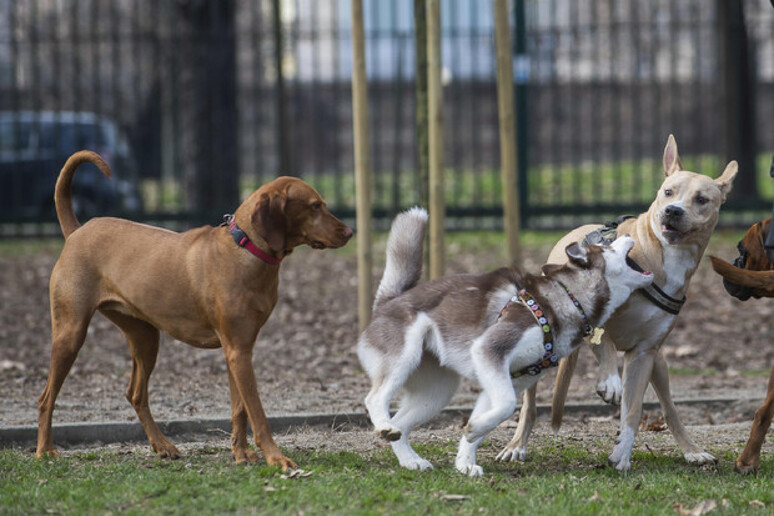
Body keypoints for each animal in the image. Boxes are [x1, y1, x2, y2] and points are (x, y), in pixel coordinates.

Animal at [36, 149, 352, 468]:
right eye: (315, 206)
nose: (351, 231)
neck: (246, 248)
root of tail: (77, 231)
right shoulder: (238, 352)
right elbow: (257, 413)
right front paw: (275, 458)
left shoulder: (238, 350)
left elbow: (239, 409)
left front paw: (241, 453)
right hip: (70, 334)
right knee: (46, 398)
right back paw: (45, 450)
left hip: (145, 337)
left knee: (135, 394)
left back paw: (162, 445)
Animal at [358, 207, 656, 476]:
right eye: (607, 248)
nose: (626, 230)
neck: (568, 298)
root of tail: (388, 302)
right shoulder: (491, 351)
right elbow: (507, 406)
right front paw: (473, 433)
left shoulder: (512, 376)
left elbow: (490, 416)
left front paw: (465, 460)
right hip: (404, 359)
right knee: (375, 399)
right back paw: (385, 426)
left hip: (437, 393)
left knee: (402, 424)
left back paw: (411, 460)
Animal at [498, 134, 740, 472]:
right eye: (668, 192)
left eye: (702, 199)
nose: (673, 211)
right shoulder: (594, 322)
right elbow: (606, 344)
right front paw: (610, 382)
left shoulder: (644, 354)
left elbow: (633, 411)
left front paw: (622, 454)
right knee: (530, 404)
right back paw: (516, 446)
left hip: (659, 365)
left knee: (669, 409)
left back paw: (692, 450)